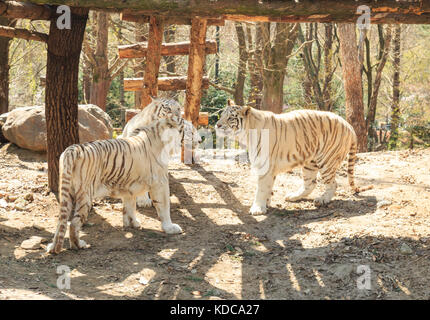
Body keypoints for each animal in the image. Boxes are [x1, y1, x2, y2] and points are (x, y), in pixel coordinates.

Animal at [47, 116, 202, 254]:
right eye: (192, 130)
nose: (200, 140)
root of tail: (72, 150)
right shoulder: (160, 183)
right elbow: (164, 207)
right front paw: (170, 228)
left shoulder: (129, 186)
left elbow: (130, 206)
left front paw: (133, 223)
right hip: (85, 195)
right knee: (74, 223)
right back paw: (79, 245)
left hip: (65, 193)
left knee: (61, 221)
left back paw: (53, 247)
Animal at [217, 100, 372, 215]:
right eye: (221, 115)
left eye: (230, 118)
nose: (217, 125)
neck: (247, 134)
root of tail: (349, 125)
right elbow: (268, 187)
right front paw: (266, 204)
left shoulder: (265, 166)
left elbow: (260, 188)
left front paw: (257, 208)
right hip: (310, 163)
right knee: (310, 184)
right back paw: (292, 196)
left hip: (327, 161)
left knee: (333, 184)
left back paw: (322, 200)